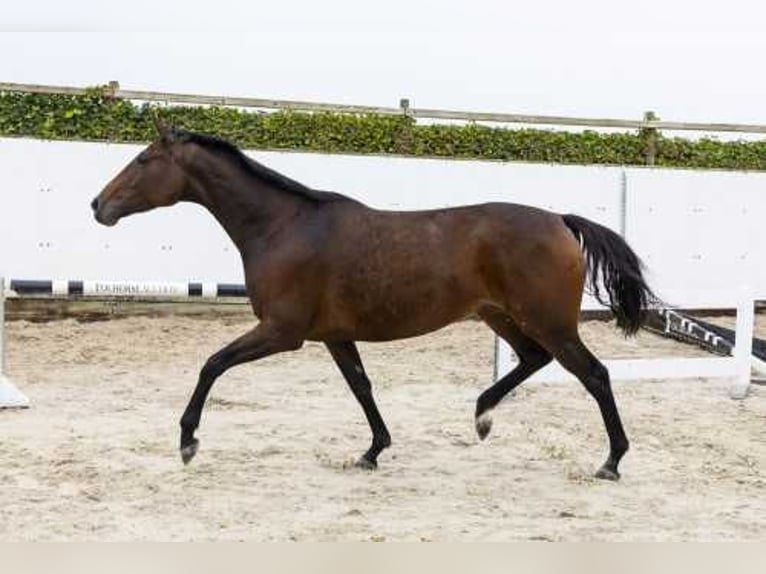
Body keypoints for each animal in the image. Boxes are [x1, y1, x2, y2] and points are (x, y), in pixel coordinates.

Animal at [90, 118, 656, 482]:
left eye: (143, 159)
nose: (98, 206)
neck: (284, 227)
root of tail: (560, 220)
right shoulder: (334, 336)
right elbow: (361, 387)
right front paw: (372, 451)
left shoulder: (282, 332)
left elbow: (212, 364)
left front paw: (187, 442)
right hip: (501, 315)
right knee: (533, 359)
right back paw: (482, 416)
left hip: (548, 321)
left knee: (594, 375)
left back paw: (611, 462)